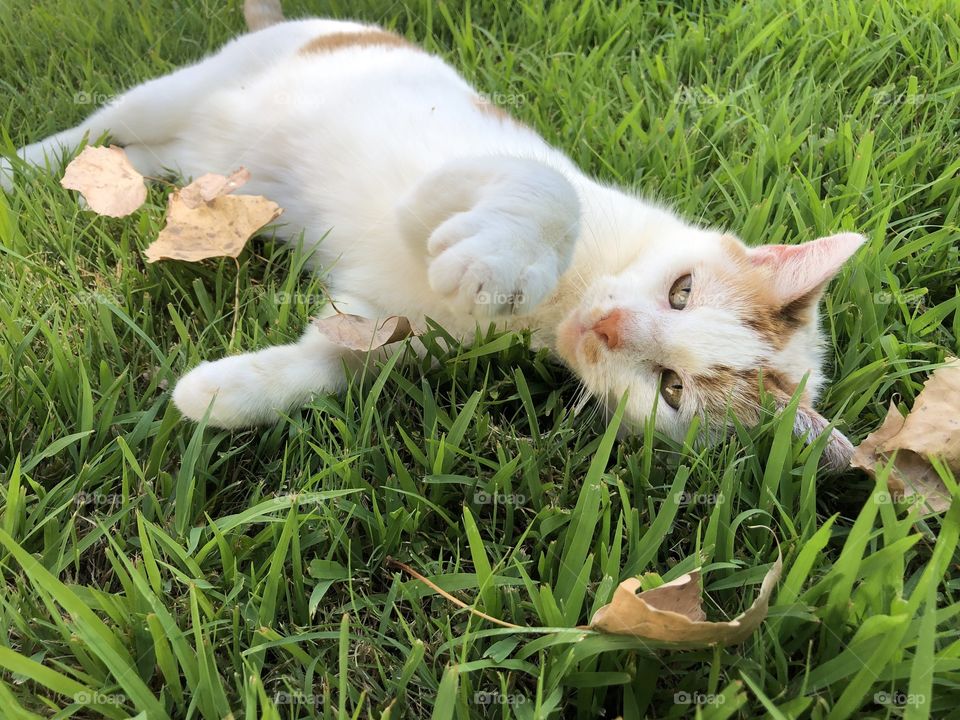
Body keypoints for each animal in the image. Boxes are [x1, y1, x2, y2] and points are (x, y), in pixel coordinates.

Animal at [3, 0, 868, 470]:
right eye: (681, 290)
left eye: (672, 389)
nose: (609, 326)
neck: (558, 310)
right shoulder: (481, 176)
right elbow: (548, 194)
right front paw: (501, 261)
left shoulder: (394, 327)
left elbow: (335, 361)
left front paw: (225, 393)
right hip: (181, 91)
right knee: (93, 129)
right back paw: (19, 169)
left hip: (187, 161)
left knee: (131, 160)